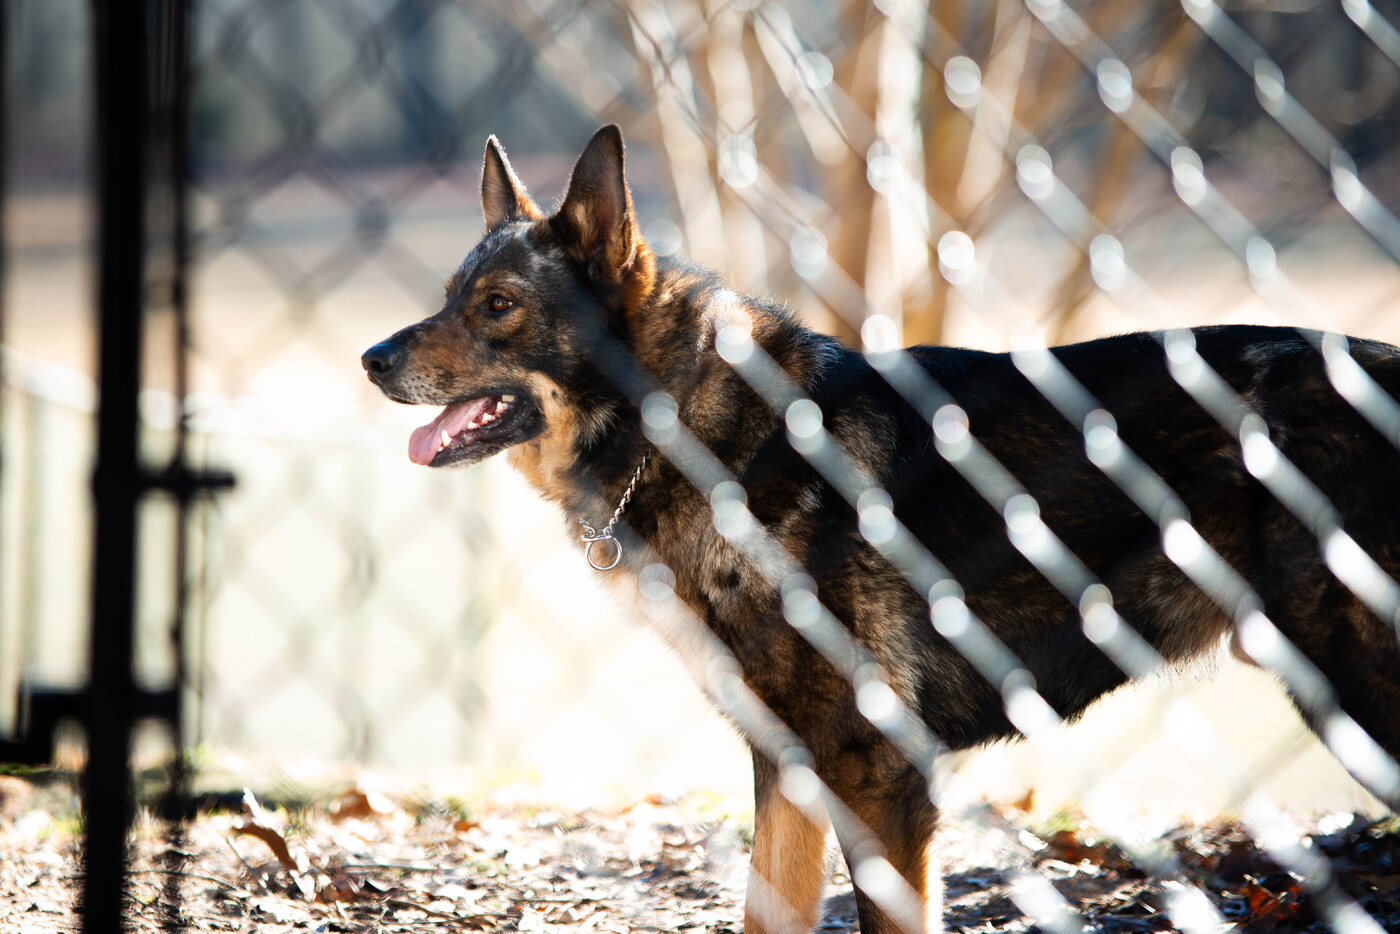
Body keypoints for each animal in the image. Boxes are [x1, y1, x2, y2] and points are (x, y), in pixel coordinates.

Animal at [362, 125, 1400, 933]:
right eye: (451, 295)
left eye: (497, 307)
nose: (371, 358)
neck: (690, 427)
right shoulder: (791, 776)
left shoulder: (878, 777)